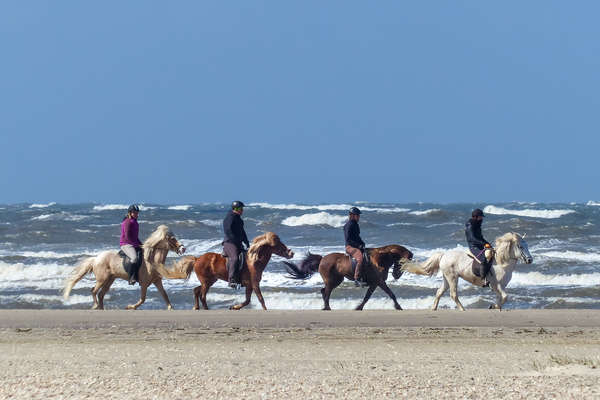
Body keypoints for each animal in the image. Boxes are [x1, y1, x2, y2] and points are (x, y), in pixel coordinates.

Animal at [158, 233, 294, 310]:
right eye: (277, 244)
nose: (291, 253)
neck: (254, 261)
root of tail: (197, 259)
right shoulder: (255, 284)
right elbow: (260, 299)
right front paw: (265, 309)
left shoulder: (249, 285)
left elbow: (248, 300)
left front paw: (234, 307)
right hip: (206, 282)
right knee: (202, 295)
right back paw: (206, 308)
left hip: (210, 281)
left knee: (196, 290)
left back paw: (196, 307)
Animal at [284, 244, 412, 312]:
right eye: (402, 262)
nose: (396, 275)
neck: (381, 258)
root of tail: (322, 259)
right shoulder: (377, 282)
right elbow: (373, 296)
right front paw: (358, 307)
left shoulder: (377, 283)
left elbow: (386, 294)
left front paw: (398, 306)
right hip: (332, 281)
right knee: (326, 292)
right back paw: (327, 307)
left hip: (336, 280)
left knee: (324, 291)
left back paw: (326, 307)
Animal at [400, 233, 532, 310]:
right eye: (520, 246)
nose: (530, 260)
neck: (502, 263)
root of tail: (444, 255)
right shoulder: (496, 285)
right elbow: (504, 297)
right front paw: (493, 306)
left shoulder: (500, 286)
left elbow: (501, 298)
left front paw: (495, 307)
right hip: (453, 277)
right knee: (453, 294)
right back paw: (463, 309)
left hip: (446, 278)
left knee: (439, 292)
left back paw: (434, 308)